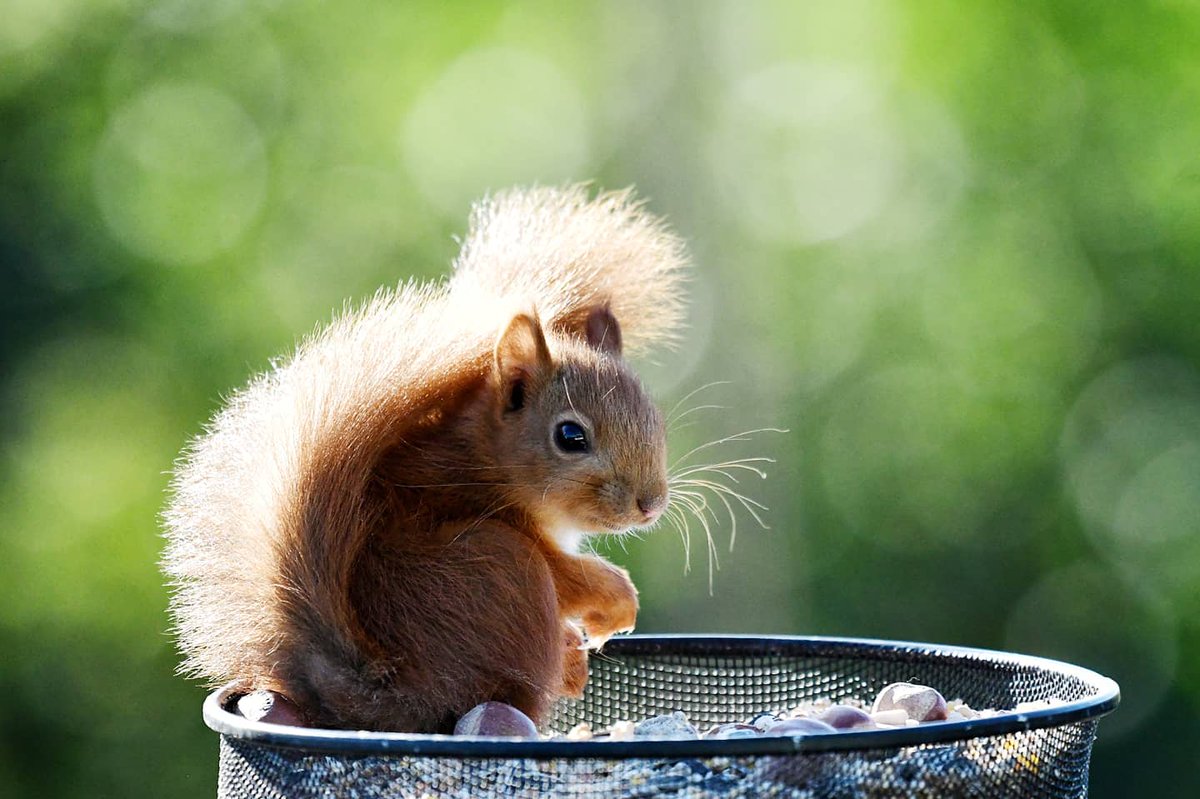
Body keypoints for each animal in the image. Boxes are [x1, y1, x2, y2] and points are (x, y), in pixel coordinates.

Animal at [160, 184, 691, 729]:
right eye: (570, 435)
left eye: (654, 416)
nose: (651, 504)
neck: (489, 463)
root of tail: (386, 694)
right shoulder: (481, 509)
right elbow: (567, 577)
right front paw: (618, 600)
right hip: (502, 567)